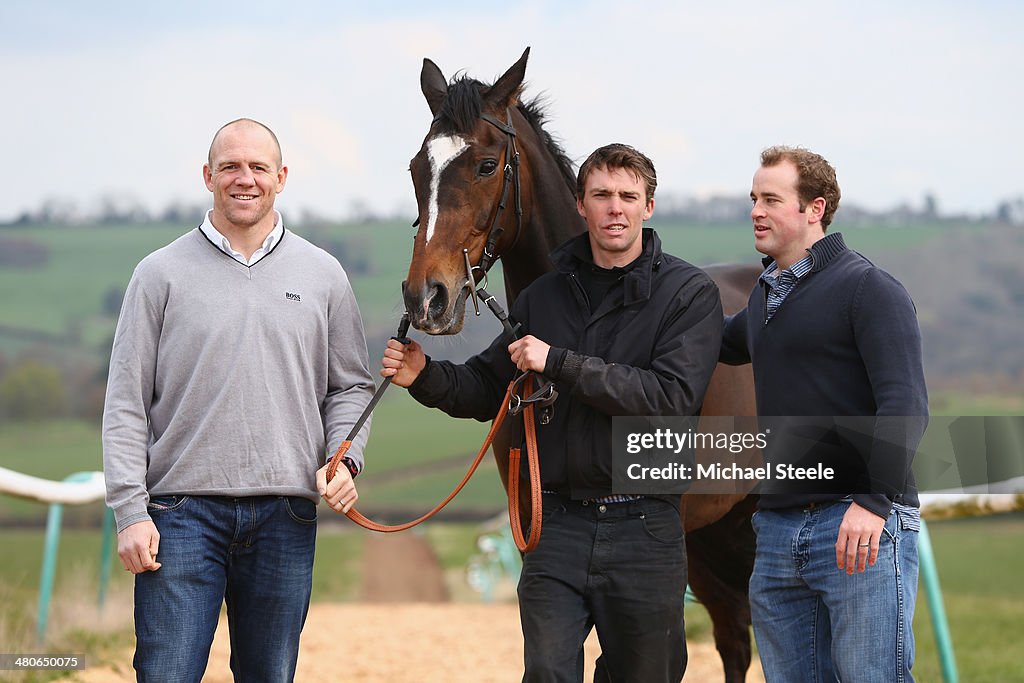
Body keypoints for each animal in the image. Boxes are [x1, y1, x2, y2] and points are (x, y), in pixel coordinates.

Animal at [399, 45, 761, 679]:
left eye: (487, 166)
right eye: (419, 168)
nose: (427, 298)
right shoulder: (534, 524)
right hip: (716, 534)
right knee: (735, 640)